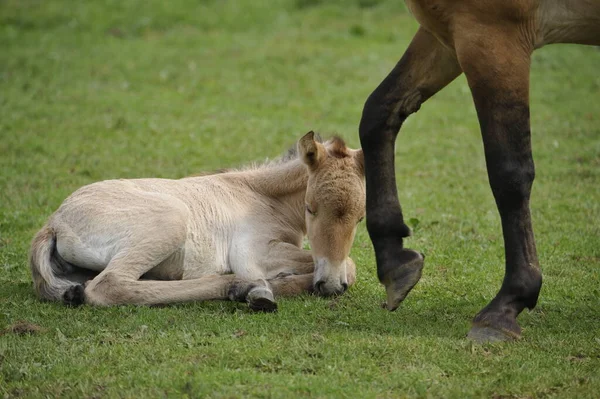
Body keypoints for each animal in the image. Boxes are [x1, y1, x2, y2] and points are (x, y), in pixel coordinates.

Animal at [29, 133, 366, 310]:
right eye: (310, 208)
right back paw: (242, 287)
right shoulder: (253, 251)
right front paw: (268, 286)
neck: (258, 194)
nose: (330, 285)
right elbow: (349, 264)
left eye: (361, 217)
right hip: (170, 220)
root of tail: (54, 222)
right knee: (108, 285)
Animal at [358, 1, 596, 342]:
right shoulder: (447, 32)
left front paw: (508, 303)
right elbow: (380, 112)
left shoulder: (491, 36)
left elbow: (509, 171)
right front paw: (393, 259)